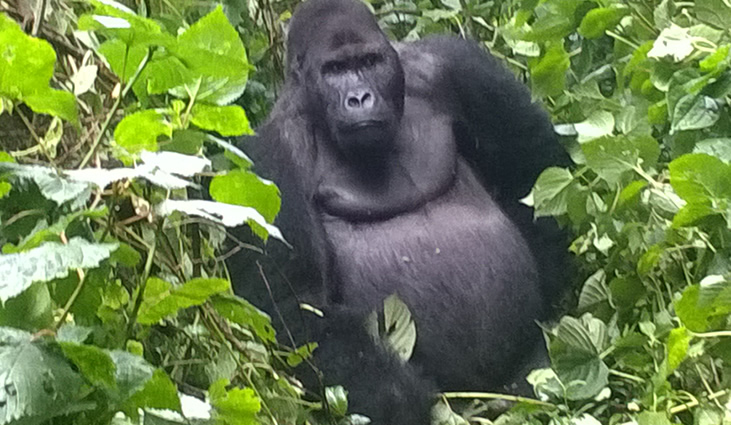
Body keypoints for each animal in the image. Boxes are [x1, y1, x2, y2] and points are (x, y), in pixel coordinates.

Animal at [232, 0, 568, 422]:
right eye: (334, 71)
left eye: (369, 61)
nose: (360, 97)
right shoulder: (268, 158)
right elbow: (293, 301)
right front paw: (406, 403)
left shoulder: (452, 64)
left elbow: (529, 172)